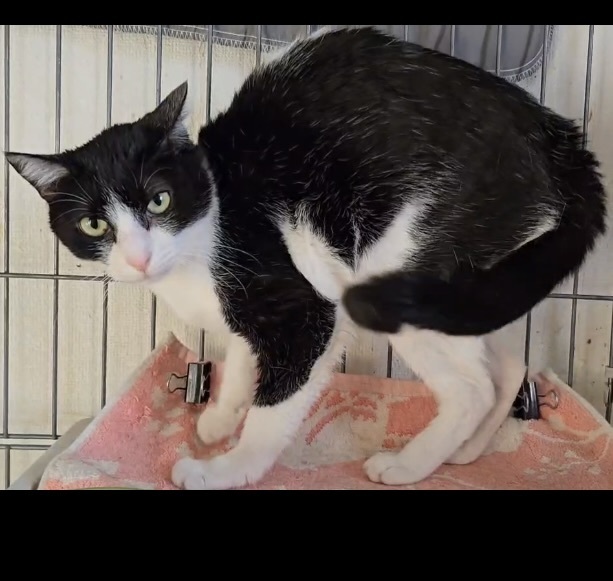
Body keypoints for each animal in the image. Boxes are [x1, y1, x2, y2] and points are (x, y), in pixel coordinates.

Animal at [5, 26, 607, 490]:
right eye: (95, 225)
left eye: (159, 199)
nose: (138, 258)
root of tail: (562, 141)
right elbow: (243, 360)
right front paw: (219, 419)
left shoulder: (304, 310)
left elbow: (276, 402)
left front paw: (228, 467)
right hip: (467, 286)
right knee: (506, 367)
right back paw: (465, 451)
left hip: (394, 269)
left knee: (472, 387)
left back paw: (407, 465)